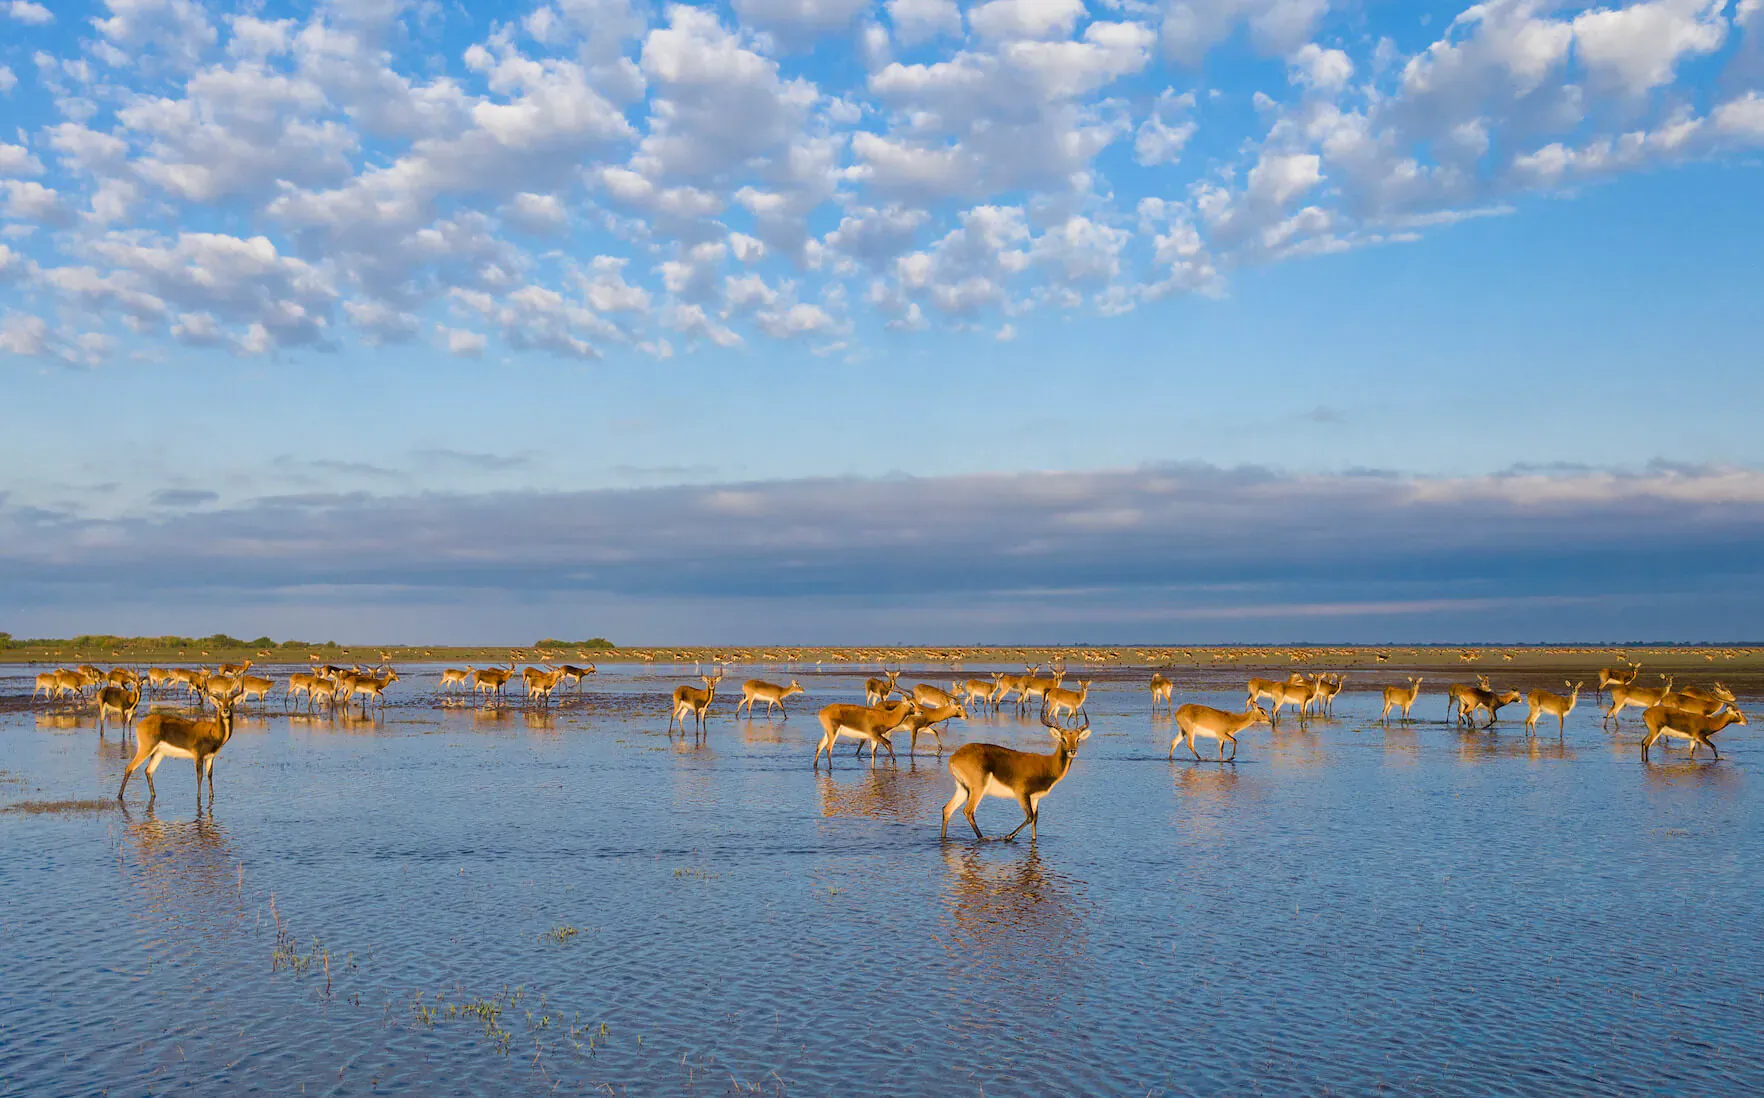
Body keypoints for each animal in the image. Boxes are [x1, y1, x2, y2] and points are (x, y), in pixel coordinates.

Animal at [940, 709, 1091, 842]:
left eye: (1077, 739)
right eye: (1063, 739)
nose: (1072, 751)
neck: (1048, 765)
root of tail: (954, 757)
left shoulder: (1035, 798)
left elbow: (1035, 820)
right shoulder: (1022, 793)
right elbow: (1029, 817)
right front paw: (1008, 836)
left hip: (963, 789)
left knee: (947, 809)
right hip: (978, 788)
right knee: (968, 811)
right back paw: (983, 839)